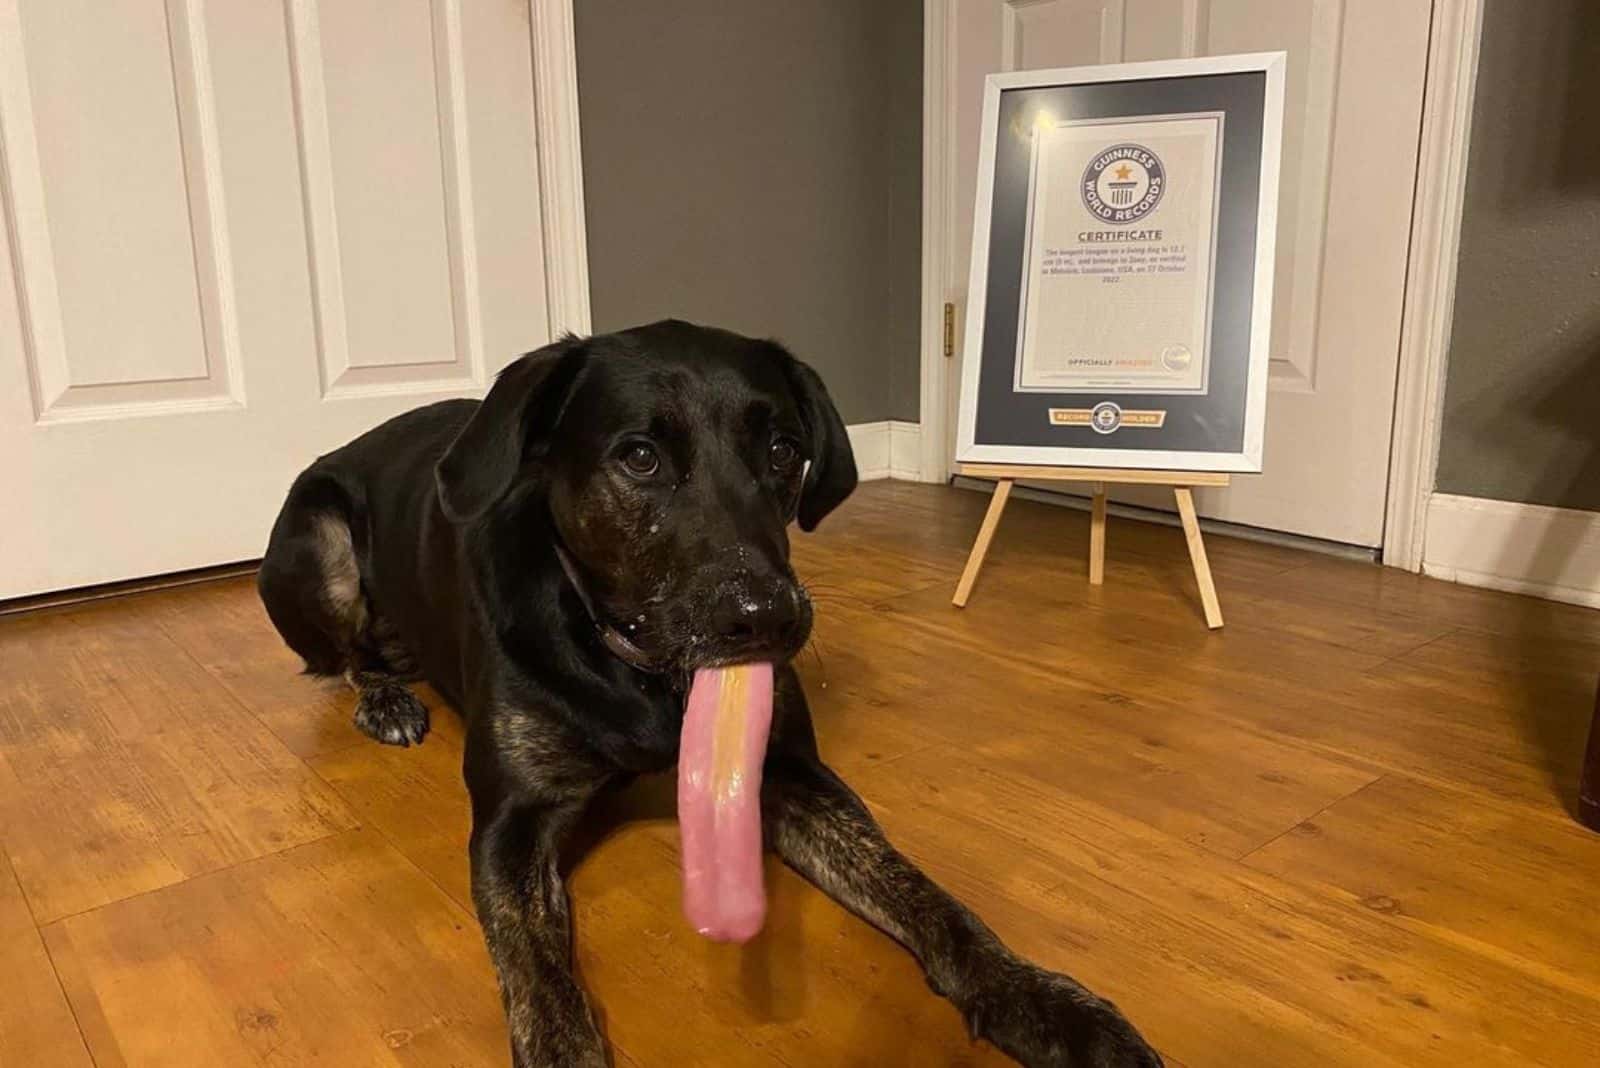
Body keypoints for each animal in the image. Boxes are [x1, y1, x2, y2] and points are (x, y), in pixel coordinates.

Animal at [262, 321, 1164, 1061]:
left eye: (784, 451)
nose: (768, 618)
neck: (646, 669)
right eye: (640, 458)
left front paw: (1037, 999)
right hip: (314, 537)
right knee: (345, 654)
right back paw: (384, 694)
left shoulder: (794, 776)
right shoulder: (509, 825)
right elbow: (538, 974)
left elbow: (926, 893)